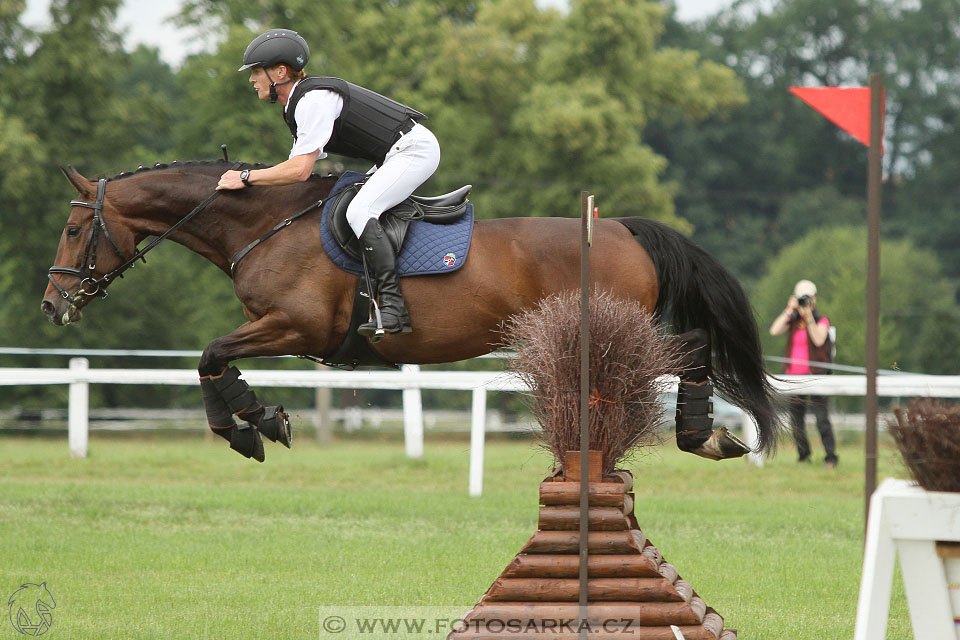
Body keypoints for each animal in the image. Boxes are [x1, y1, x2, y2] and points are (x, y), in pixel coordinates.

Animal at [41, 159, 784, 460]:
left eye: (75, 230)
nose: (53, 304)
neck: (263, 223)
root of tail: (625, 228)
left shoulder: (294, 326)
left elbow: (210, 355)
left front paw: (251, 426)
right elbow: (213, 359)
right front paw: (261, 421)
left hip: (611, 334)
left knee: (692, 351)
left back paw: (704, 436)